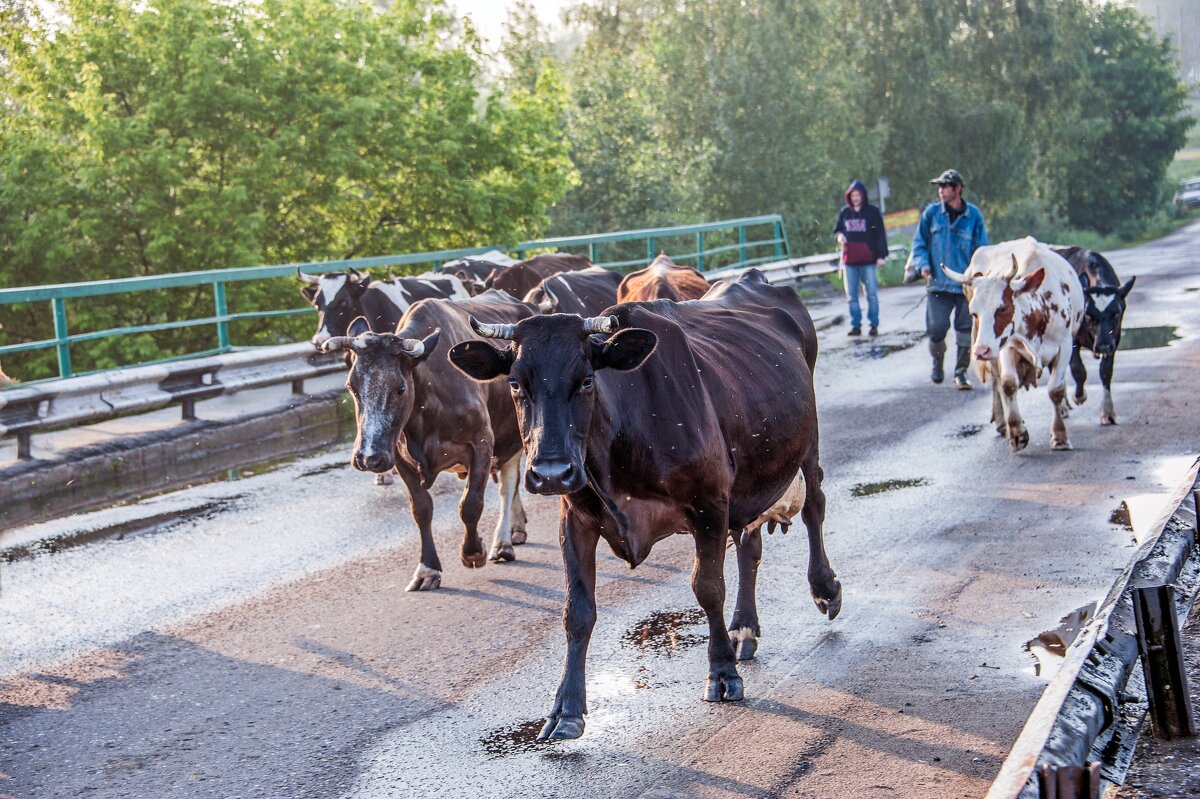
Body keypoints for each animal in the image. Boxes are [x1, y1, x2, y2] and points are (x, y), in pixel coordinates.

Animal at [319, 289, 535, 587]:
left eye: (400, 388)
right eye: (351, 387)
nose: (368, 458)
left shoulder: (482, 443)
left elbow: (470, 504)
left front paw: (473, 552)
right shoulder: (398, 457)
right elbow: (421, 509)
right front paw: (427, 569)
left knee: (508, 485)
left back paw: (501, 543)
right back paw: (514, 530)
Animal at [451, 268, 844, 739]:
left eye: (586, 379)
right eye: (514, 383)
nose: (550, 473)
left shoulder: (710, 504)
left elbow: (707, 587)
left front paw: (722, 674)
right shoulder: (576, 520)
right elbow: (577, 611)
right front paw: (566, 708)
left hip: (808, 443)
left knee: (814, 507)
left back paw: (824, 589)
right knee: (750, 545)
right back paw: (744, 628)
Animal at [950, 233, 1084, 451]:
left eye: (1003, 308)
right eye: (973, 312)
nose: (980, 351)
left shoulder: (1064, 346)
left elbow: (1055, 389)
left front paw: (1060, 437)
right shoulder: (1006, 346)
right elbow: (1008, 384)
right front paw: (1017, 433)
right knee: (997, 381)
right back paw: (1001, 422)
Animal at [1051, 245, 1132, 427]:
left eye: (1116, 313)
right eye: (1088, 315)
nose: (1103, 346)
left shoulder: (1114, 339)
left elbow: (1106, 372)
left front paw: (1108, 412)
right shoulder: (1071, 339)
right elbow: (1078, 369)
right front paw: (1079, 396)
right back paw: (1063, 407)